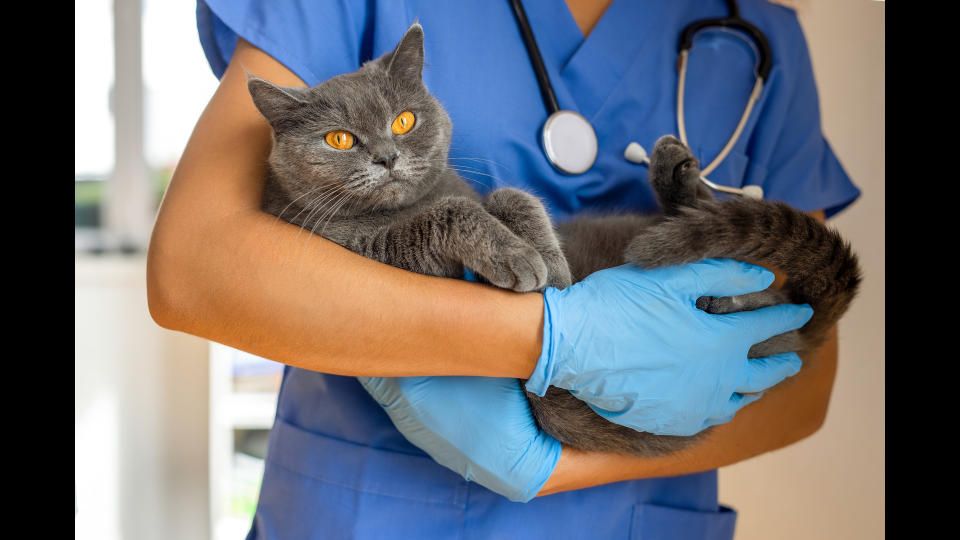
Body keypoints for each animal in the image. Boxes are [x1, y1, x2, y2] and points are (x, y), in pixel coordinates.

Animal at [249, 24, 864, 456]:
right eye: (339, 139)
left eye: (404, 121)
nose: (386, 156)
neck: (410, 199)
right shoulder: (365, 248)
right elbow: (451, 213)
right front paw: (522, 258)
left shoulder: (478, 190)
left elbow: (508, 195)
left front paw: (550, 260)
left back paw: (677, 176)